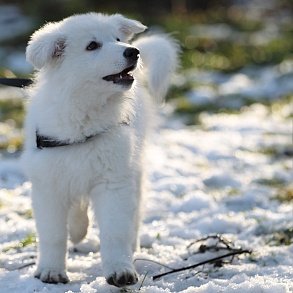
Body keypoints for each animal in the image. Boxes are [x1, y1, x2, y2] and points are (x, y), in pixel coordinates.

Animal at [21, 12, 177, 286]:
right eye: (92, 46)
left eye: (117, 39)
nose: (133, 52)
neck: (86, 115)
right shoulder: (49, 184)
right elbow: (52, 234)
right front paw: (51, 270)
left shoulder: (113, 180)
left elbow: (115, 231)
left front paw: (120, 270)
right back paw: (77, 230)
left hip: (134, 167)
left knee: (134, 212)